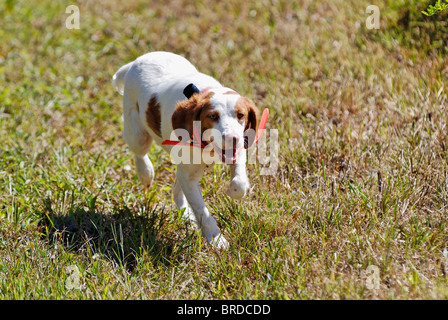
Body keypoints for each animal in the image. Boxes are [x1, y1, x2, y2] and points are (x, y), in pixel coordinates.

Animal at [112, 51, 260, 249]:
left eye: (241, 115)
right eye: (213, 116)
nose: (232, 139)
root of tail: (135, 62)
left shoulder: (238, 149)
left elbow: (239, 182)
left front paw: (232, 191)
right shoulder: (189, 175)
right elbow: (202, 210)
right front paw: (216, 238)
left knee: (177, 189)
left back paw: (187, 217)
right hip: (137, 134)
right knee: (139, 152)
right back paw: (146, 173)